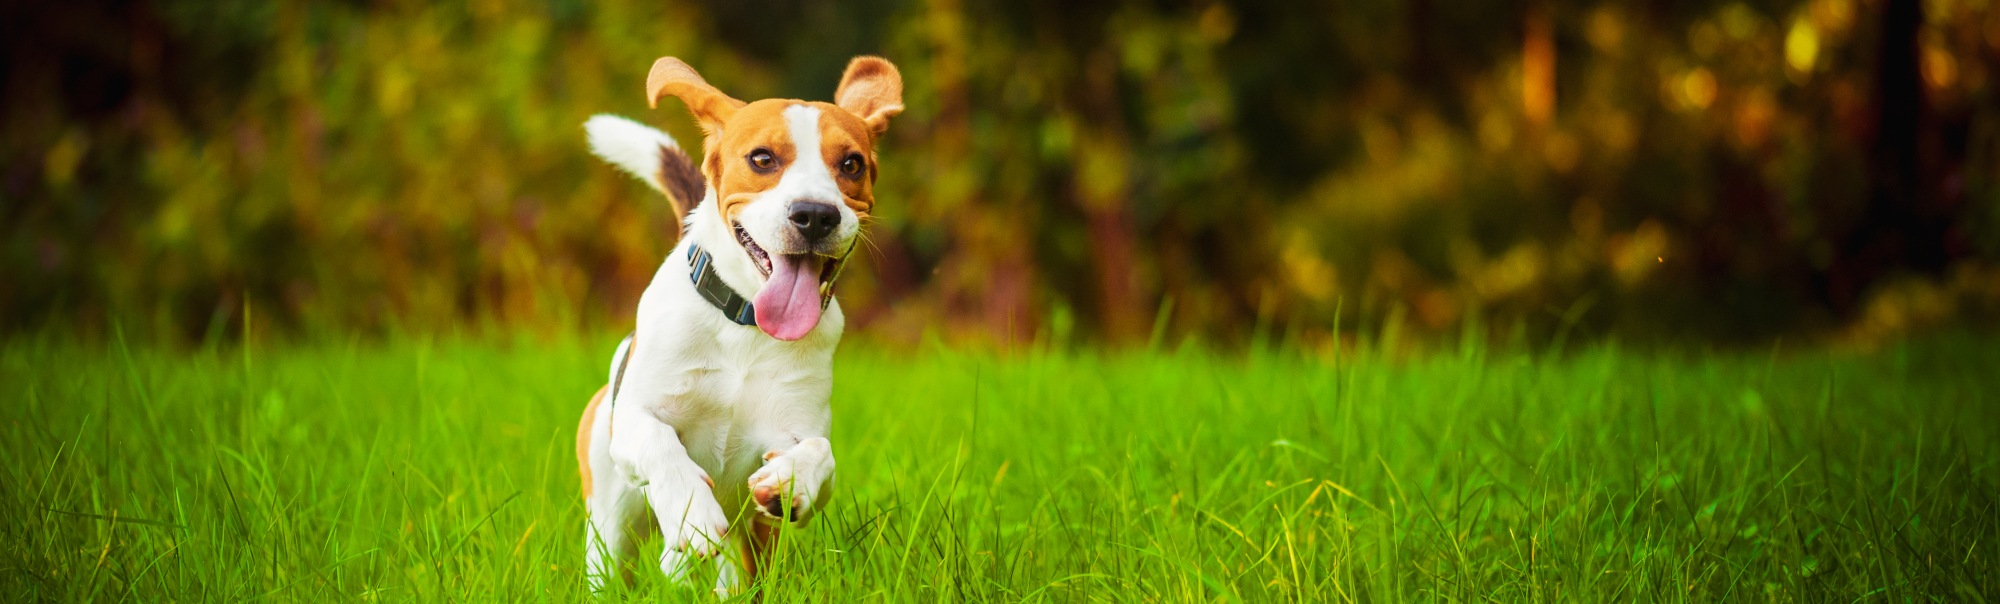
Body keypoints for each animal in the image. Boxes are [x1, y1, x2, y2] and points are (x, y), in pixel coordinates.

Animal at [568, 55, 904, 596]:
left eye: (852, 164)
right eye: (762, 158)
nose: (815, 215)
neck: (745, 325)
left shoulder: (793, 431)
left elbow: (821, 453)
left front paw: (790, 482)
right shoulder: (636, 423)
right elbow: (660, 441)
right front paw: (692, 515)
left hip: (745, 547)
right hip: (610, 521)